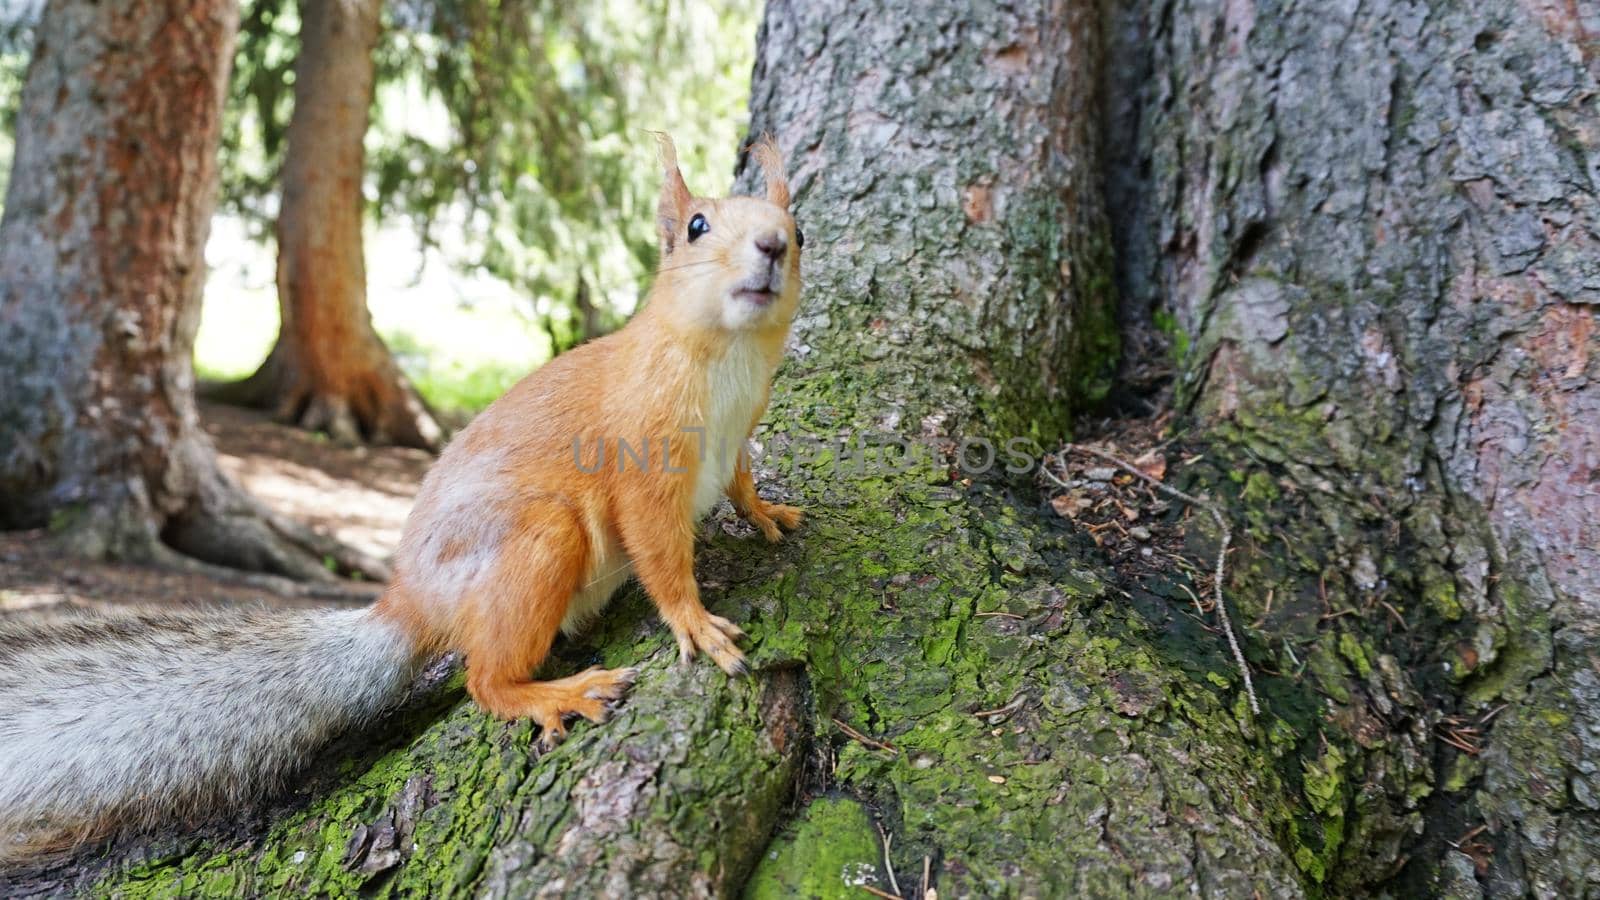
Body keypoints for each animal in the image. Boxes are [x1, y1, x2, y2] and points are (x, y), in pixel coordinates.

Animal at [0, 134, 800, 864]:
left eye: (798, 230)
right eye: (696, 225)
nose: (771, 246)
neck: (725, 359)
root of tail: (412, 604)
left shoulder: (739, 434)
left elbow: (738, 479)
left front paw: (766, 513)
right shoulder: (643, 461)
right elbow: (659, 549)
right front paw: (694, 622)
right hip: (541, 540)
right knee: (485, 679)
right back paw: (551, 693)